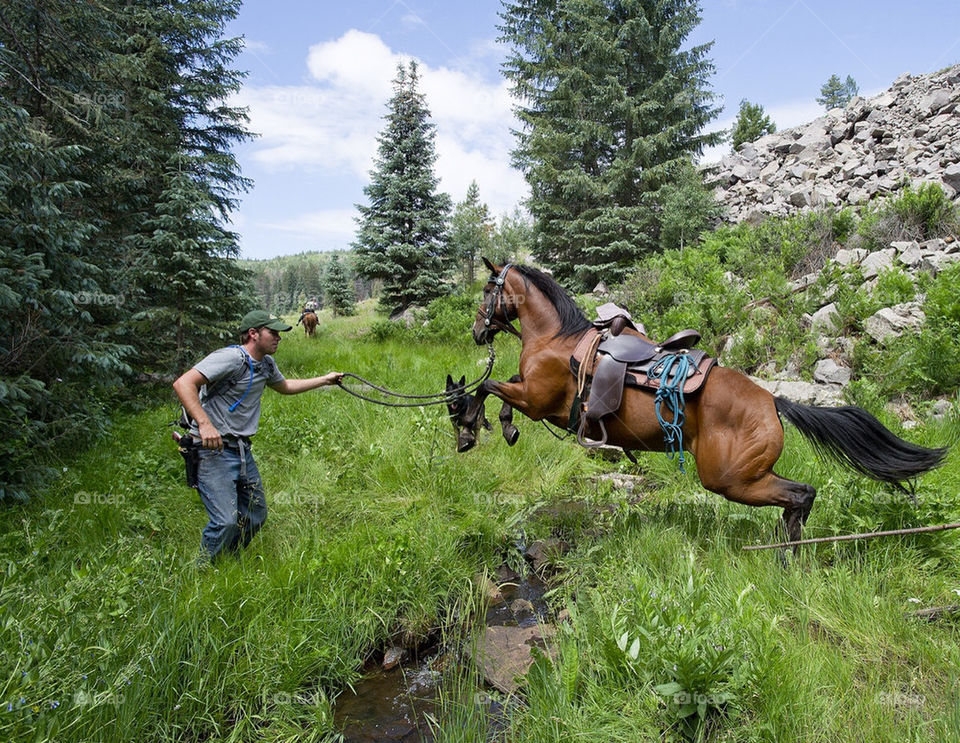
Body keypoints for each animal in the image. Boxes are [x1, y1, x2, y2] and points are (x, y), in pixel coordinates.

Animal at [454, 258, 948, 540]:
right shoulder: (535, 396)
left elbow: (488, 386)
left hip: (730, 479)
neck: (559, 338)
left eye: (487, 291)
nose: (477, 330)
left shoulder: (540, 401)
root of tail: (774, 403)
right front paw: (494, 424)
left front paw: (470, 427)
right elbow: (500, 385)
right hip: (747, 474)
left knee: (801, 495)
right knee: (800, 498)